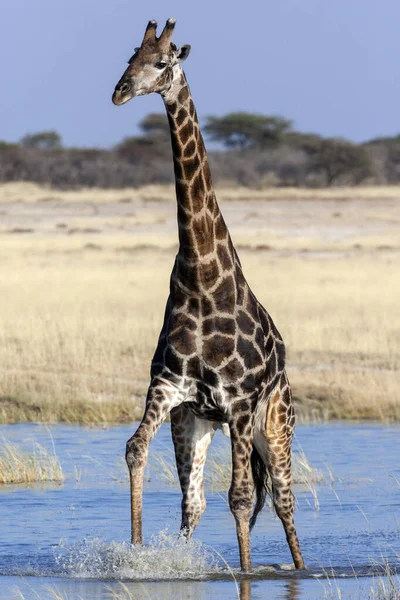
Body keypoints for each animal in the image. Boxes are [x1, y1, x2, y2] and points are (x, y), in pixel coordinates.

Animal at [111, 17, 304, 572]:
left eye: (163, 62)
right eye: (130, 57)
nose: (120, 91)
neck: (200, 276)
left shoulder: (238, 404)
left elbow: (240, 497)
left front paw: (245, 574)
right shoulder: (170, 391)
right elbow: (135, 450)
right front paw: (137, 555)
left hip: (274, 425)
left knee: (284, 502)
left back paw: (300, 568)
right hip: (198, 424)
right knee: (192, 502)